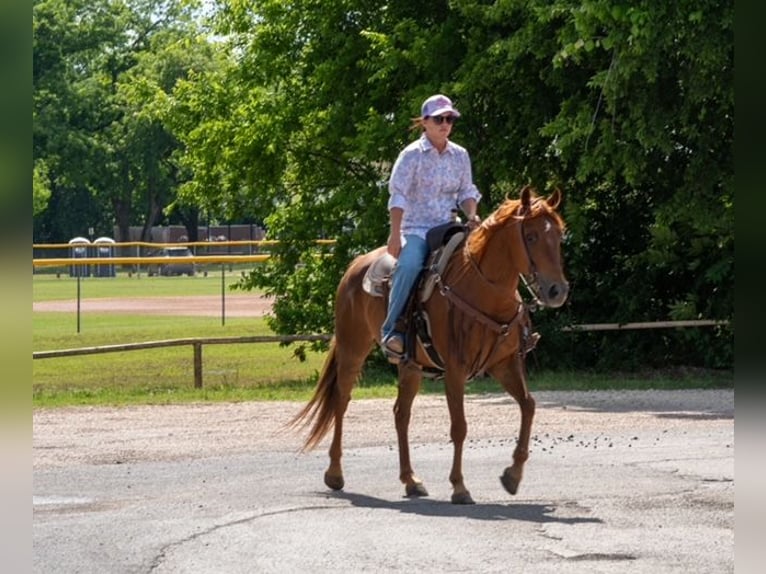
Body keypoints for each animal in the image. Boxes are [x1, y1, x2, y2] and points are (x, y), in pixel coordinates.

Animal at [291, 185, 569, 504]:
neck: (482, 290)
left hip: (410, 366)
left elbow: (528, 406)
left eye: (559, 235)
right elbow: (459, 427)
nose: (557, 291)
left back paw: (410, 480)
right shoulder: (456, 370)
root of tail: (354, 265)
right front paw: (459, 487)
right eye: (531, 236)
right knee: (341, 401)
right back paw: (335, 474)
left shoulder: (504, 364)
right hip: (352, 349)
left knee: (401, 414)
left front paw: (512, 476)